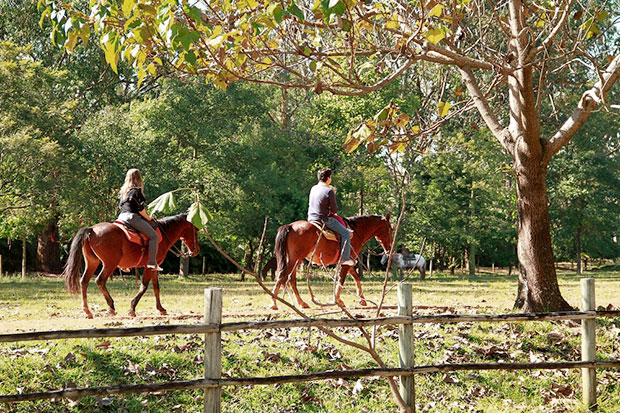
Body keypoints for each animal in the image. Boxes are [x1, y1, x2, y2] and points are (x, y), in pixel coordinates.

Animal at [63, 214, 199, 318]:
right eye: (196, 230)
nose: (196, 251)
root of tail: (91, 229)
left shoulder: (155, 267)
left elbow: (156, 287)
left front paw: (161, 309)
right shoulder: (148, 267)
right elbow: (144, 287)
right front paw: (132, 308)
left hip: (92, 262)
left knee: (84, 281)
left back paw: (87, 311)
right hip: (109, 264)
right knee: (100, 280)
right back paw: (111, 307)